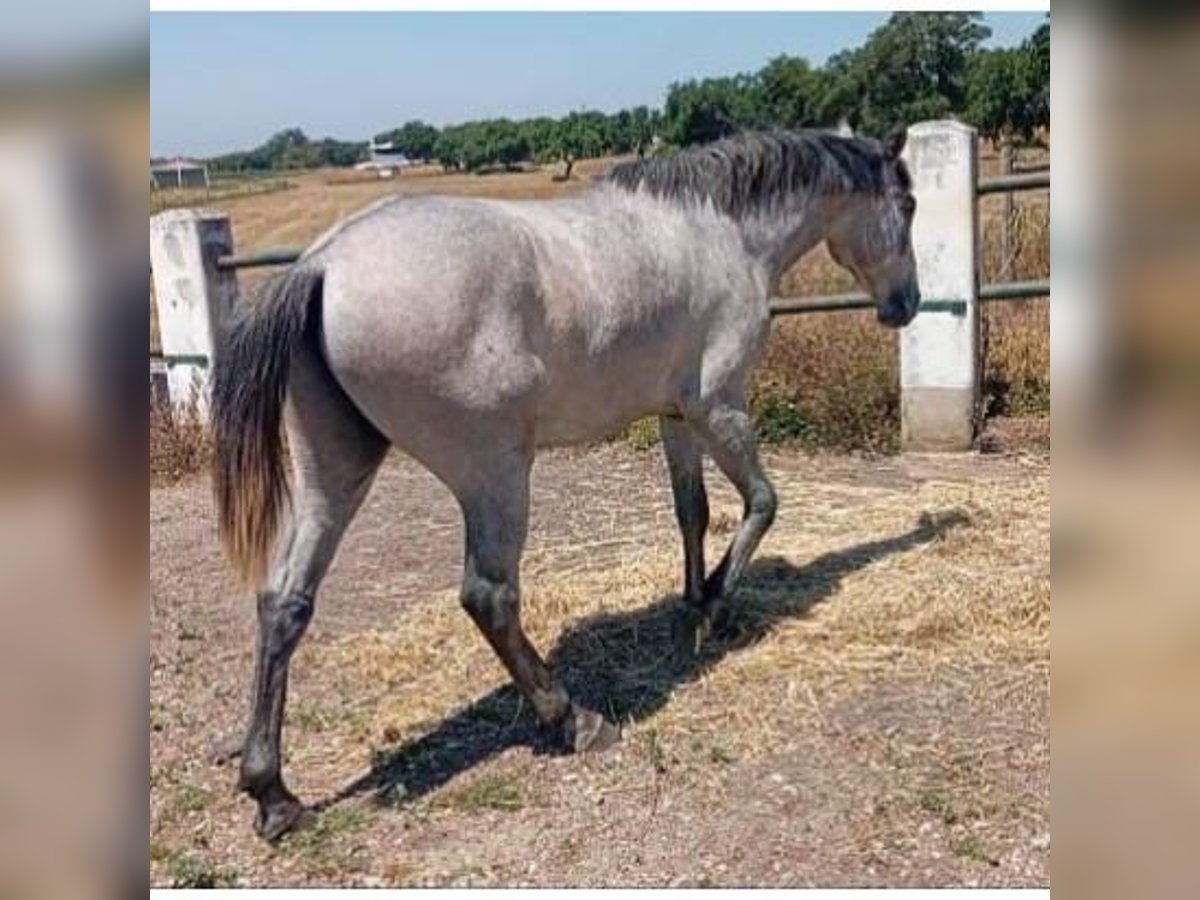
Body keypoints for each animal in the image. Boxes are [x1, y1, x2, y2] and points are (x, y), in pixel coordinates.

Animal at [208, 125, 916, 840]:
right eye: (908, 204)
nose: (906, 305)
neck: (717, 230)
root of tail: (324, 266)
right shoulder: (719, 406)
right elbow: (762, 503)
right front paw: (716, 605)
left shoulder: (675, 415)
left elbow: (691, 510)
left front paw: (691, 604)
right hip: (494, 476)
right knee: (490, 597)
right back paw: (574, 719)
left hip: (336, 470)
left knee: (286, 601)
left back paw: (273, 794)